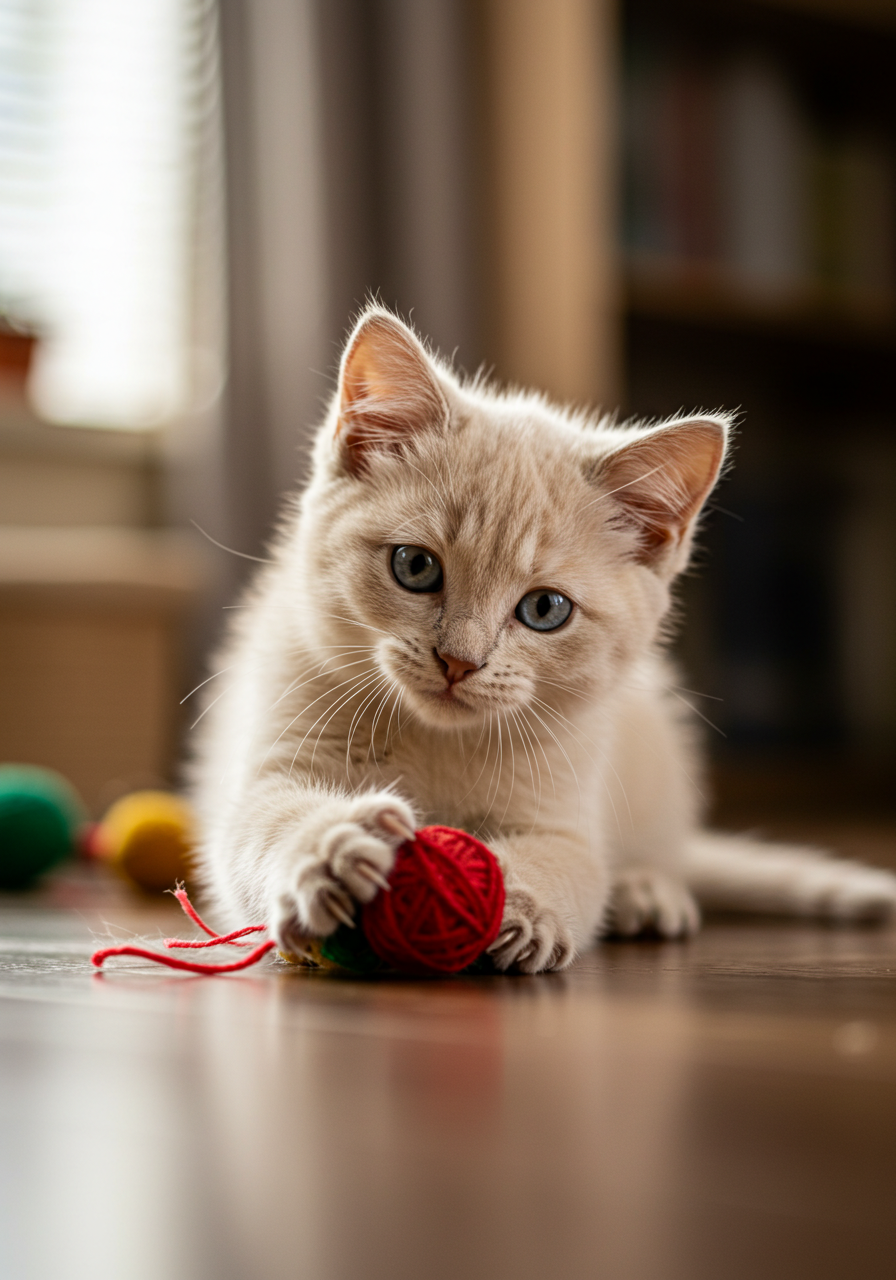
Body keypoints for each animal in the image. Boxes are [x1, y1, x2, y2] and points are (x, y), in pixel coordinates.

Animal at [190, 307, 896, 967]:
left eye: (545, 609)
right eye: (415, 567)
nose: (458, 661)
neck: (440, 746)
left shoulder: (564, 816)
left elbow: (572, 866)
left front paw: (523, 905)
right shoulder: (271, 762)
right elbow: (262, 824)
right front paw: (329, 852)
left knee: (657, 856)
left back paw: (645, 892)